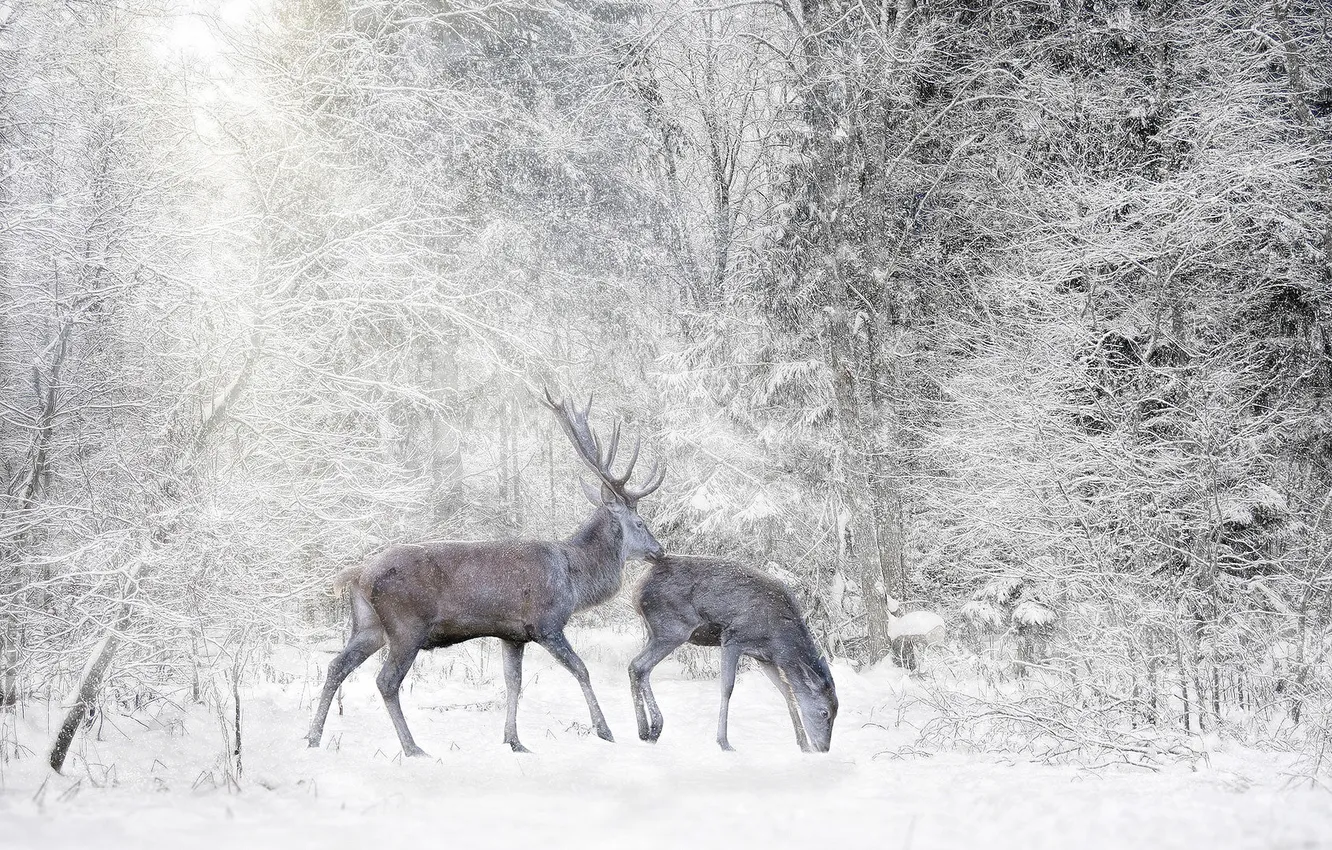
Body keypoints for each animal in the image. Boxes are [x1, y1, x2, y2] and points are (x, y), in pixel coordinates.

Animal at [305, 390, 666, 757]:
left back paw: (313, 737)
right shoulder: (546, 624)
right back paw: (413, 747)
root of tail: (359, 573)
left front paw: (514, 741)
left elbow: (514, 683)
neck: (575, 578)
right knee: (386, 681)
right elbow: (581, 670)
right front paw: (604, 731)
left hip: (369, 625)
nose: (659, 550)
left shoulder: (513, 635)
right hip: (407, 625)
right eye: (640, 522)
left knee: (336, 667)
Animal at [629, 555, 838, 752]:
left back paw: (648, 730)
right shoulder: (733, 639)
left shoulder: (765, 658)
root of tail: (638, 584)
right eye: (824, 713)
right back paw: (651, 728)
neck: (779, 640)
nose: (824, 748)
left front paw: (804, 745)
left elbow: (787, 692)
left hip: (656, 632)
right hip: (673, 629)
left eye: (836, 710)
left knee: (638, 667)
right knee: (639, 666)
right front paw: (724, 742)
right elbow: (727, 688)